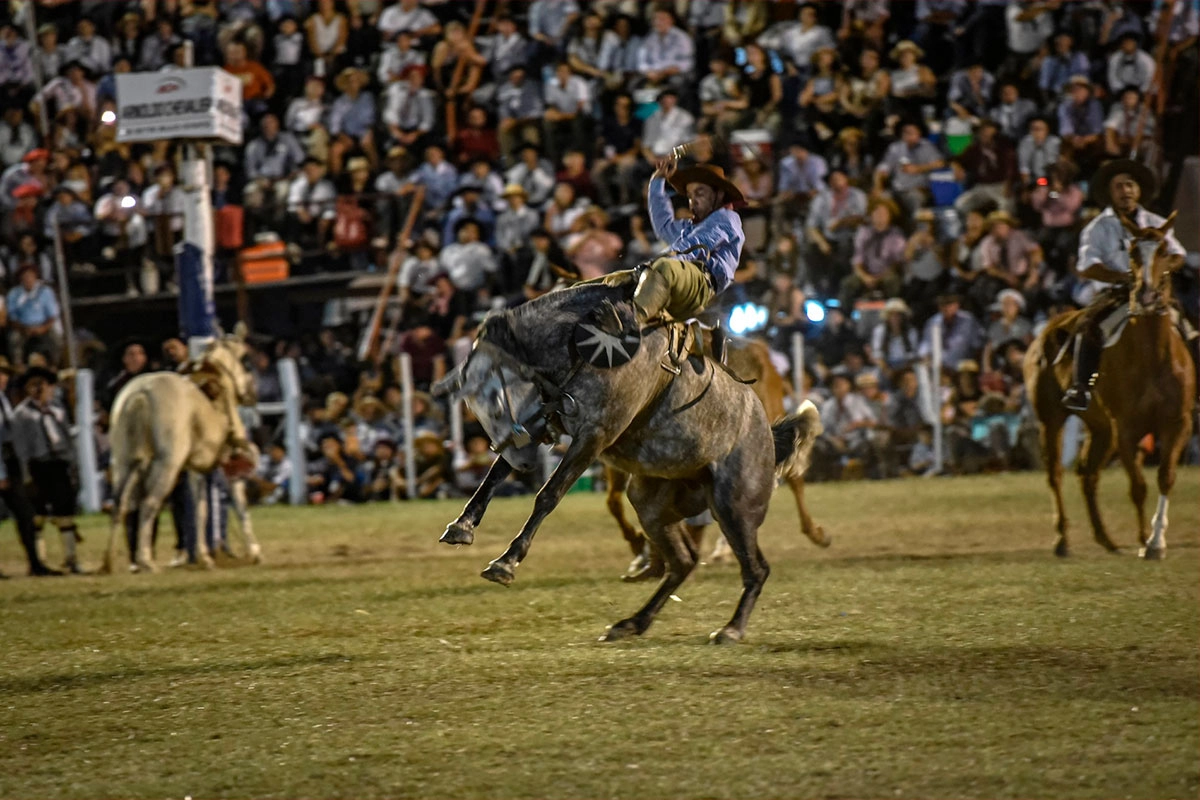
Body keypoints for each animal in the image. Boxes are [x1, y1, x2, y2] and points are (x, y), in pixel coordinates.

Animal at [104, 326, 261, 575]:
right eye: (246, 358)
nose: (251, 394)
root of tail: (141, 393)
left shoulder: (196, 469)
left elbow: (200, 510)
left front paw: (205, 557)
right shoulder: (228, 468)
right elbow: (239, 505)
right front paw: (254, 552)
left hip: (123, 463)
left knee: (121, 504)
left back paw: (110, 561)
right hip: (167, 464)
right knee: (149, 504)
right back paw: (146, 560)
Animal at [1027, 212, 1195, 563]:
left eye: (1163, 250)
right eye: (1132, 251)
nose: (1145, 295)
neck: (1152, 357)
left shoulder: (1178, 423)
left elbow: (1165, 477)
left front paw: (1155, 540)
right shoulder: (1126, 429)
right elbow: (1138, 486)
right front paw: (1146, 540)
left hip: (1101, 429)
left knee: (1087, 473)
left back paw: (1106, 539)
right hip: (1052, 420)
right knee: (1056, 474)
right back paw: (1062, 539)